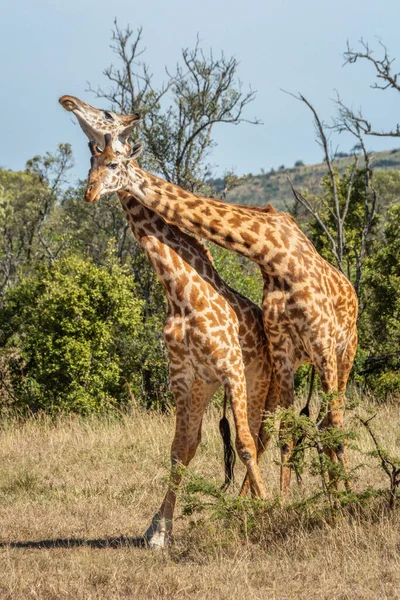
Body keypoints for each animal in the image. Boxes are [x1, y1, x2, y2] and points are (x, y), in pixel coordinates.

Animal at [59, 97, 278, 548]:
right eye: (90, 163)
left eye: (113, 161)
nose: (89, 193)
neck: (179, 294)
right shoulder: (184, 378)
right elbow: (181, 449)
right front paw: (158, 530)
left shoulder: (232, 367)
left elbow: (245, 444)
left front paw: (266, 509)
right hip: (207, 386)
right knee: (212, 440)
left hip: (258, 377)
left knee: (258, 434)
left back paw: (252, 504)